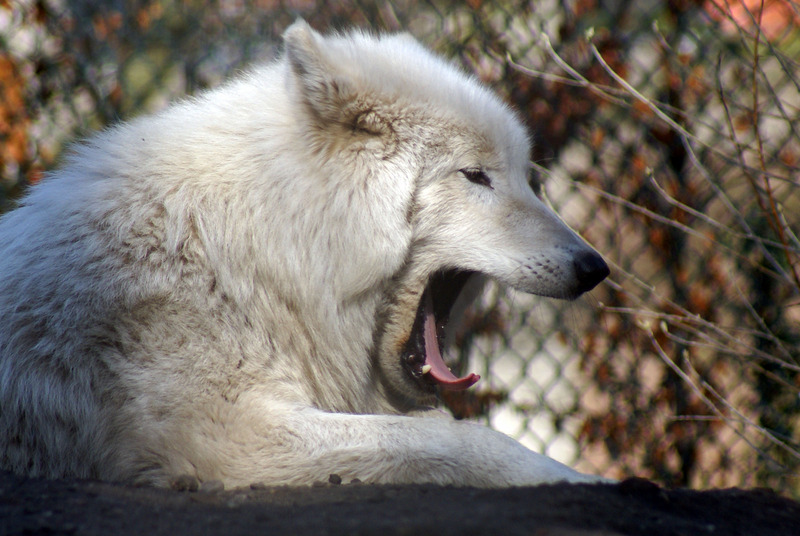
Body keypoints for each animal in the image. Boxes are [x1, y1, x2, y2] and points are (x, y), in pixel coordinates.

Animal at [0, 21, 609, 488]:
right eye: (476, 176)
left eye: (526, 177)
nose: (595, 268)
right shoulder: (227, 435)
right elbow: (451, 435)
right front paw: (581, 481)